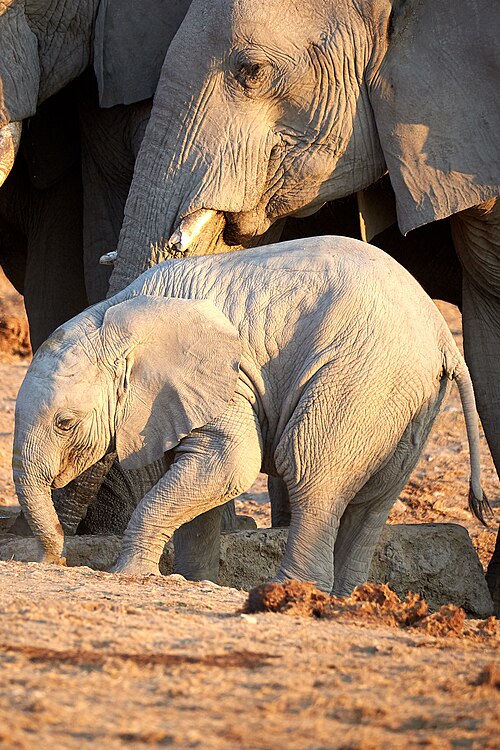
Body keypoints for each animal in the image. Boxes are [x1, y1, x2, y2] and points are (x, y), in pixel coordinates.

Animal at [13, 236, 489, 592]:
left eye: (64, 423)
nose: (55, 560)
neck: (116, 315)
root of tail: (442, 335)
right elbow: (195, 478)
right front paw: (193, 581)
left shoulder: (225, 379)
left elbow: (229, 464)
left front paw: (129, 576)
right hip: (409, 399)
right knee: (373, 502)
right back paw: (343, 600)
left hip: (364, 375)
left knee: (310, 471)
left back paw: (288, 592)